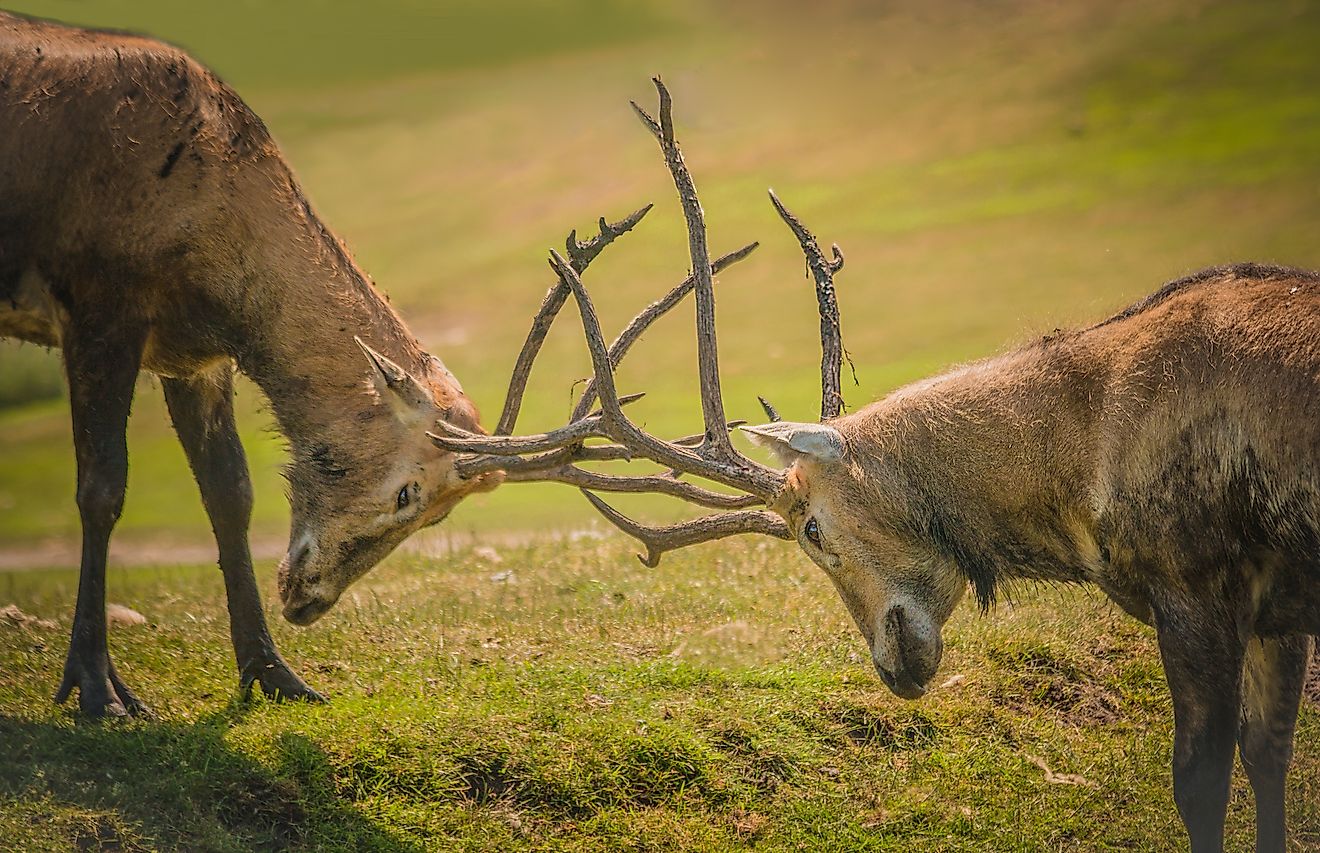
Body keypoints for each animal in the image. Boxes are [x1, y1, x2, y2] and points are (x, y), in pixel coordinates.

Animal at [0, 15, 509, 723]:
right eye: (408, 492)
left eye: (440, 518)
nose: (307, 604)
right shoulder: (97, 304)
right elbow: (101, 489)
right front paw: (98, 689)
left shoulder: (192, 356)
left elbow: (230, 492)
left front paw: (273, 674)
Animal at [435, 76, 1320, 850]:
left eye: (813, 531)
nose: (892, 665)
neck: (1080, 450)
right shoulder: (1278, 609)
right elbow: (1268, 755)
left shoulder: (1196, 581)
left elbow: (1200, 781)